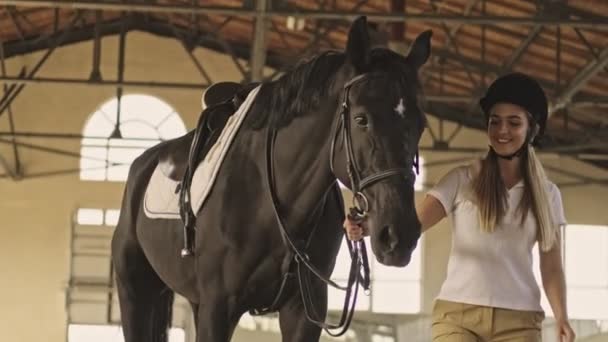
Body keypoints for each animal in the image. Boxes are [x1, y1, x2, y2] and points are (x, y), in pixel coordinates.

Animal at [110, 16, 432, 342]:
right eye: (361, 119)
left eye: (420, 124)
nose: (399, 235)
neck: (271, 203)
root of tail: (144, 163)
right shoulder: (218, 306)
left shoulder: (303, 311)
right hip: (136, 292)